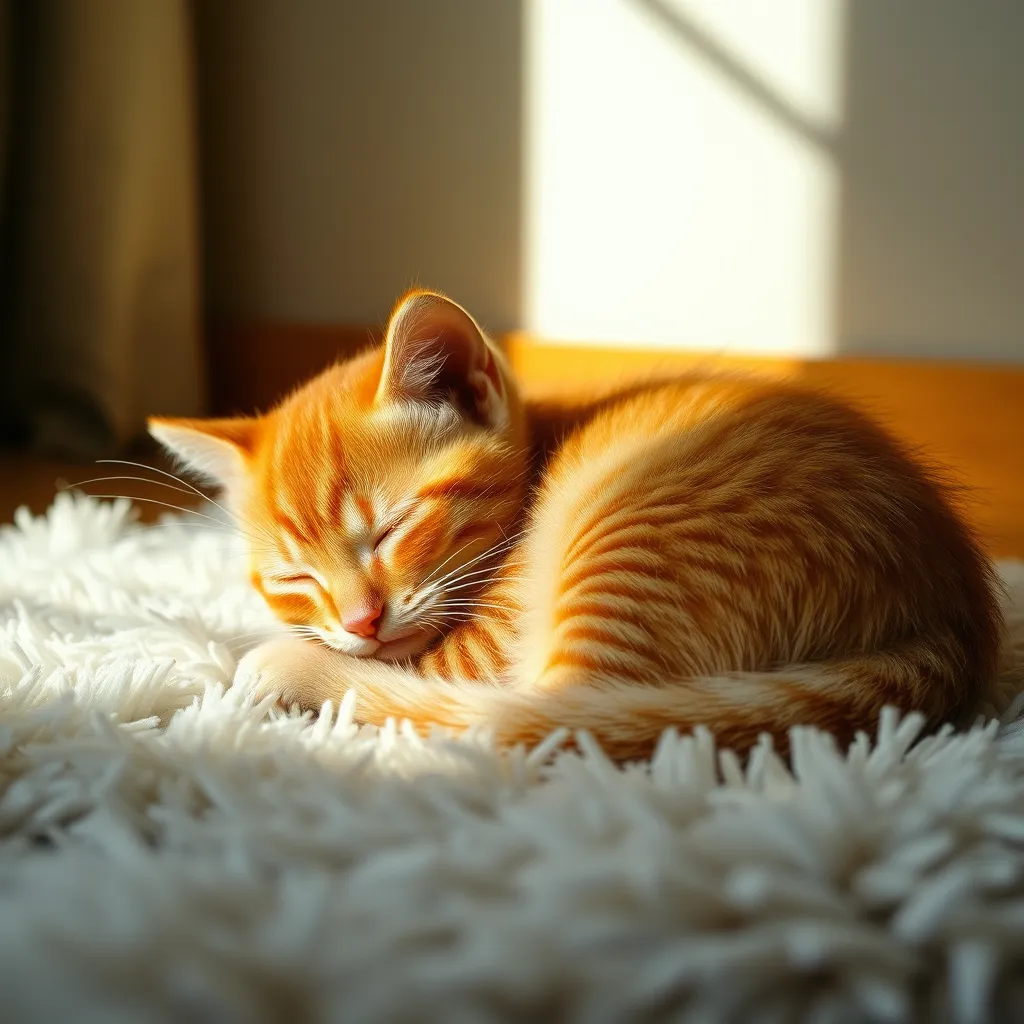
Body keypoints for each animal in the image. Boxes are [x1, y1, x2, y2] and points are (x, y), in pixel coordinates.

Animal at [149, 292, 999, 757]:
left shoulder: (485, 640)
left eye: (392, 530)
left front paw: (278, 654)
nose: (360, 621)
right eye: (293, 577)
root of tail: (946, 609)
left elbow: (424, 671)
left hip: (624, 540)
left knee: (539, 721)